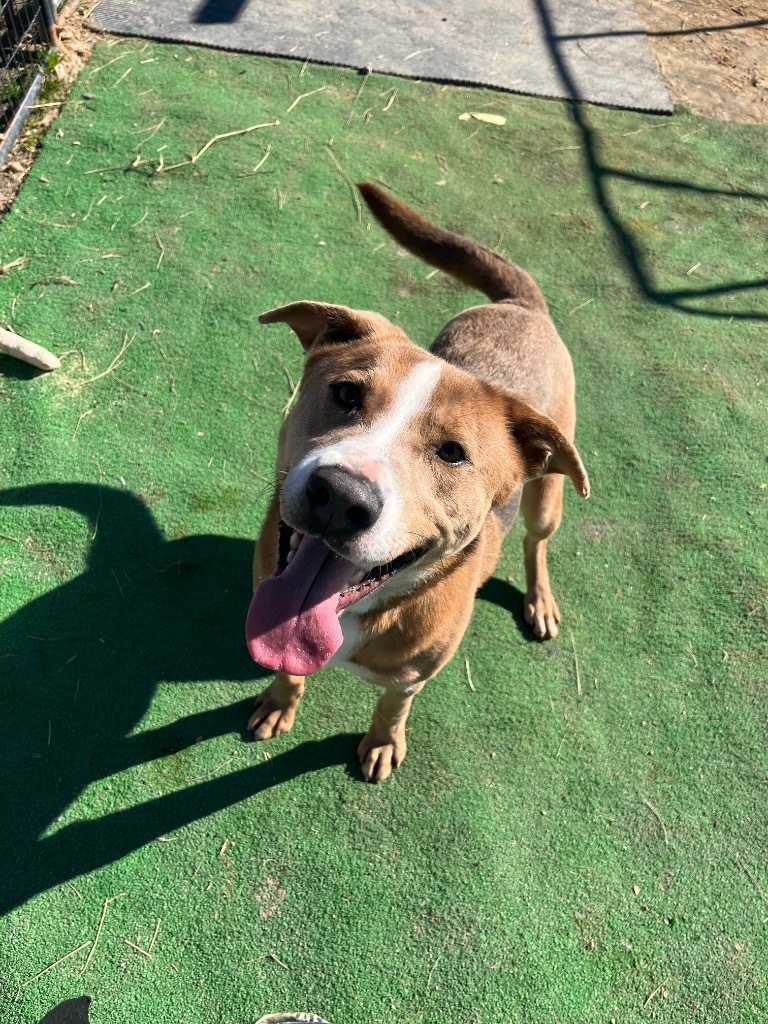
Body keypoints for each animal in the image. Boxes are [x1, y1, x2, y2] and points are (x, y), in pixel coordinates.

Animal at [246, 184, 589, 778]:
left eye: (453, 454)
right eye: (346, 393)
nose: (342, 498)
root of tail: (524, 306)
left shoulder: (413, 677)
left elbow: (393, 703)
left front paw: (383, 741)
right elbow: (289, 669)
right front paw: (279, 701)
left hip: (549, 495)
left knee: (536, 543)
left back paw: (540, 598)